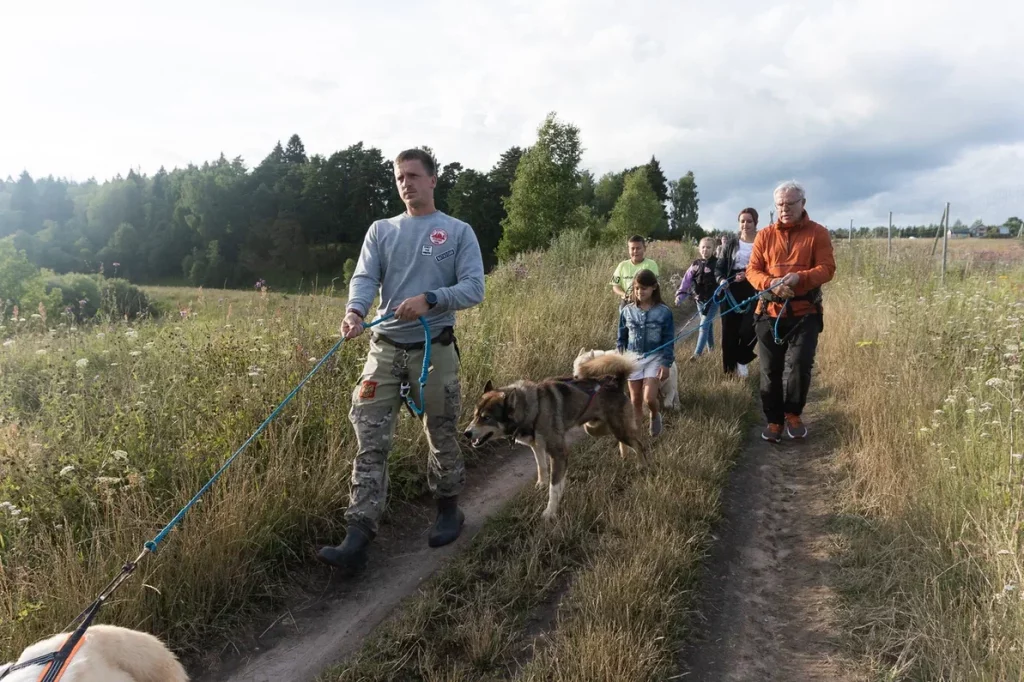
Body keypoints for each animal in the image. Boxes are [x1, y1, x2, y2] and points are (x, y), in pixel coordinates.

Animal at [464, 350, 647, 520]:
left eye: (486, 418)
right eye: (475, 415)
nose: (466, 433)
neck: (534, 408)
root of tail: (616, 382)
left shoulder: (558, 453)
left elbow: (554, 486)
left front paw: (550, 512)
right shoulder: (537, 447)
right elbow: (542, 468)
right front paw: (542, 485)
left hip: (617, 429)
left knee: (638, 444)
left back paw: (642, 465)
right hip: (596, 428)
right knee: (625, 438)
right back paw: (625, 455)